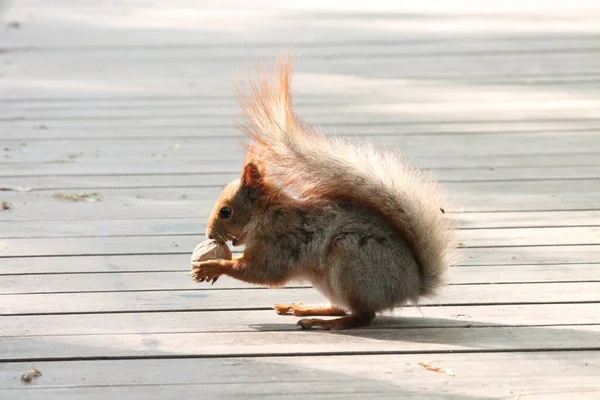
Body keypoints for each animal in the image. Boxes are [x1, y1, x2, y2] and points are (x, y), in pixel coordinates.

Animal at [192, 56, 460, 332]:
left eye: (226, 211)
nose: (209, 235)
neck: (266, 214)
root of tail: (411, 285)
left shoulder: (280, 241)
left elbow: (264, 271)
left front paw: (212, 266)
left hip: (351, 260)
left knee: (362, 316)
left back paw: (327, 322)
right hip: (330, 281)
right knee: (340, 306)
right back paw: (306, 309)